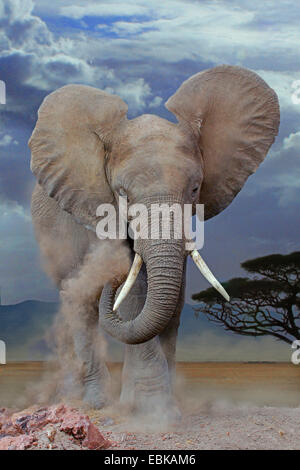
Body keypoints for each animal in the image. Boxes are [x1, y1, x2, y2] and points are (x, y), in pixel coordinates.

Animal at [29, 63, 280, 418]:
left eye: (195, 189)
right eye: (121, 193)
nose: (112, 276)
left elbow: (173, 300)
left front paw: (164, 406)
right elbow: (136, 297)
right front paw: (153, 412)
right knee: (79, 302)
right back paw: (93, 402)